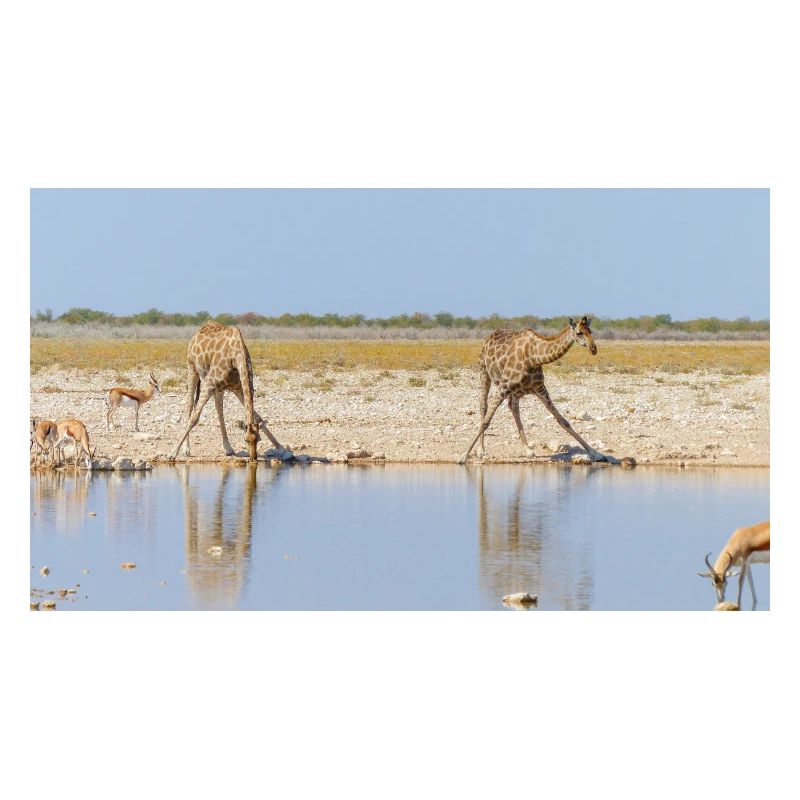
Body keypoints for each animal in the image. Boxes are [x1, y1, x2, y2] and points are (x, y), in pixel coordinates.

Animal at [168, 320, 285, 462]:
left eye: (258, 440)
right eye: (245, 440)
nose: (253, 459)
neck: (236, 356)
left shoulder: (238, 387)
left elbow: (258, 417)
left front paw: (282, 449)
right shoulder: (209, 384)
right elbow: (194, 418)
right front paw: (172, 453)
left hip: (220, 387)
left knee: (219, 408)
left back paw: (228, 447)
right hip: (192, 367)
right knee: (189, 405)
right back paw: (186, 449)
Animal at [458, 316, 608, 464]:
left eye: (591, 331)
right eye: (579, 333)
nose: (593, 349)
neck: (534, 357)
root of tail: (490, 336)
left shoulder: (540, 389)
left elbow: (563, 420)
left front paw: (596, 453)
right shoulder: (503, 387)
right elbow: (486, 422)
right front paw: (463, 456)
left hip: (516, 391)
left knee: (513, 407)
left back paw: (527, 449)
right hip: (484, 372)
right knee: (483, 405)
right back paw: (481, 450)